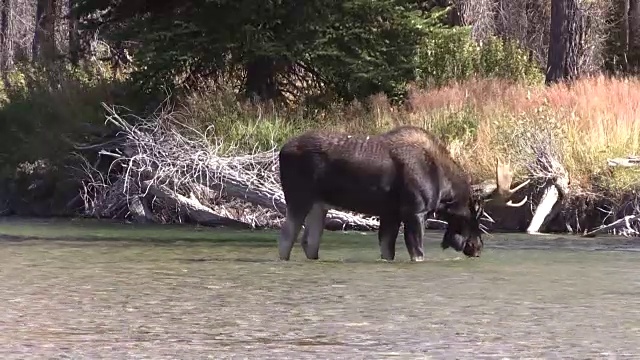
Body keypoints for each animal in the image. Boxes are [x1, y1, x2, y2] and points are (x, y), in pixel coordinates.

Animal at [276, 125, 528, 260]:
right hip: (299, 198)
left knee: (309, 242)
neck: (443, 189)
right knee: (286, 237)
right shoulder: (415, 212)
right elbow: (417, 252)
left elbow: (387, 250)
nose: (477, 248)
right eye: (475, 214)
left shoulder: (391, 213)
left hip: (320, 204)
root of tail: (280, 151)